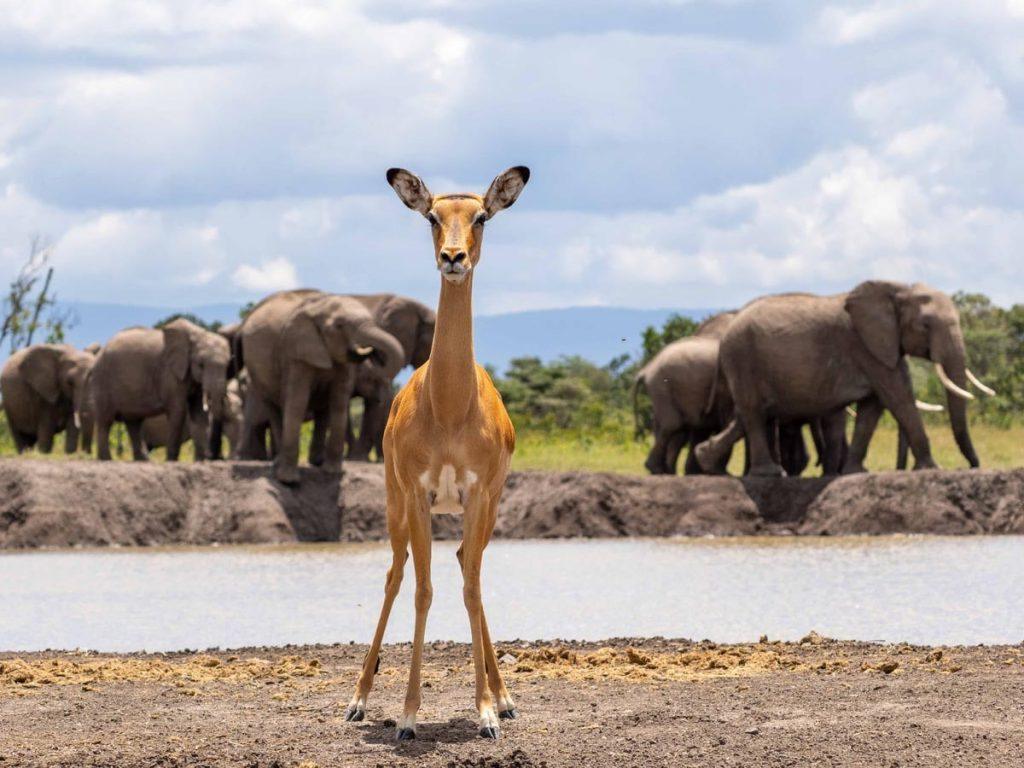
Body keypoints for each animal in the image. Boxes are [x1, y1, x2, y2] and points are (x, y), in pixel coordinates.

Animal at [344, 166, 530, 740]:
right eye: (431, 216)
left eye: (482, 216)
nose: (453, 257)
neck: (448, 408)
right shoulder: (419, 491)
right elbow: (424, 591)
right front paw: (407, 716)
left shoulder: (478, 492)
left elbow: (470, 589)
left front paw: (488, 711)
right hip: (395, 506)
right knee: (396, 576)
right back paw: (358, 701)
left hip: (485, 509)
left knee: (469, 566)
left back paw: (505, 696)